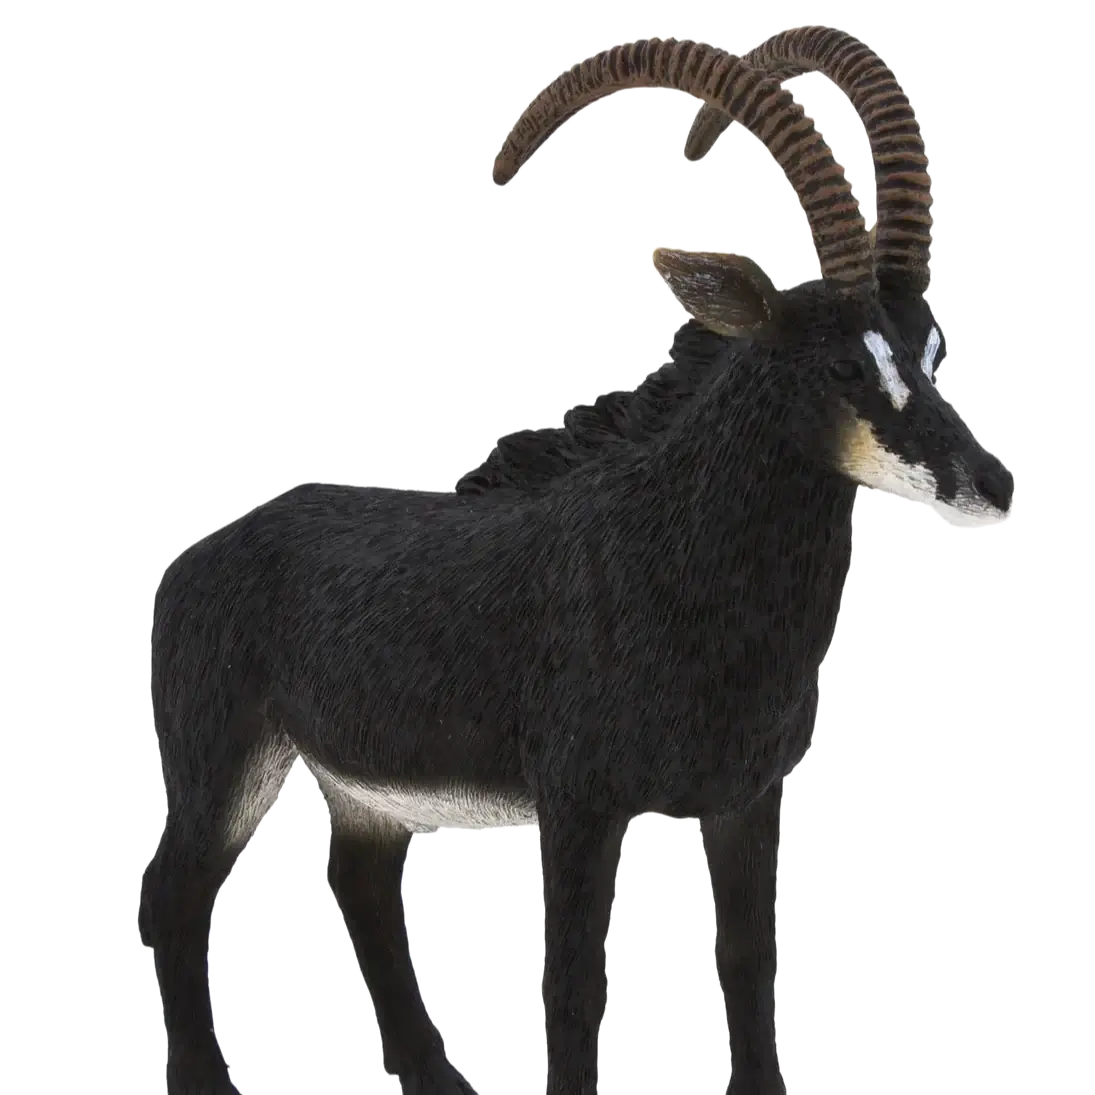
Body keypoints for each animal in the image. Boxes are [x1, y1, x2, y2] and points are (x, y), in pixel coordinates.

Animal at [139, 26, 1015, 1095]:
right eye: (845, 362)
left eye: (931, 349)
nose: (989, 484)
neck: (677, 564)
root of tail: (195, 561)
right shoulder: (580, 802)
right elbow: (573, 983)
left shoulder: (744, 797)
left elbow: (747, 956)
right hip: (224, 758)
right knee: (173, 891)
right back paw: (207, 1079)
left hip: (361, 788)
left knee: (359, 880)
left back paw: (439, 1079)